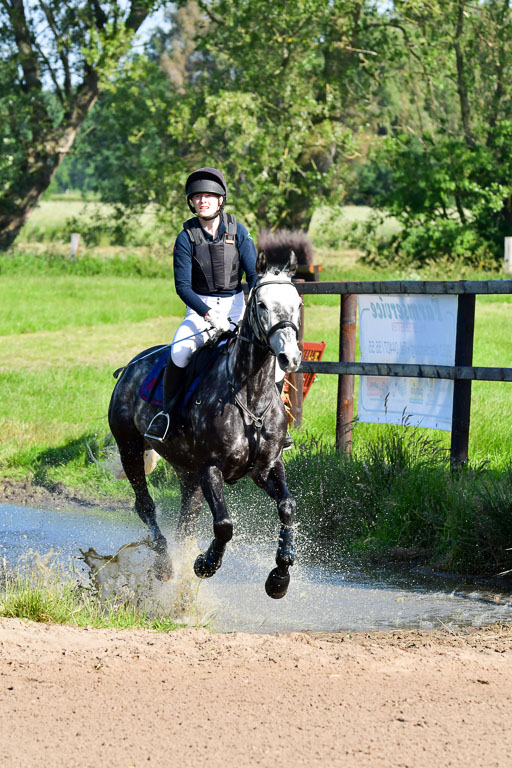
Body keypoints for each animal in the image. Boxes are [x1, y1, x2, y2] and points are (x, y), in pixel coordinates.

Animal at [107, 251, 303, 599]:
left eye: (298, 303)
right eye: (261, 305)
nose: (290, 358)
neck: (250, 397)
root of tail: (128, 368)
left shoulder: (267, 466)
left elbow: (287, 506)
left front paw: (280, 577)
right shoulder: (211, 467)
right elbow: (224, 525)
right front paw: (206, 563)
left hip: (187, 473)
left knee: (185, 522)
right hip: (129, 448)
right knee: (145, 506)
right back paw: (165, 563)